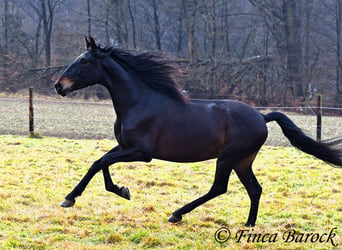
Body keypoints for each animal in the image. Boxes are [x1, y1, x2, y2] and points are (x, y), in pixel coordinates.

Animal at [55, 37, 342, 227]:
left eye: (84, 61)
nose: (59, 85)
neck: (138, 102)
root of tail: (262, 116)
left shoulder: (141, 152)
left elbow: (101, 162)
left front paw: (74, 198)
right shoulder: (125, 147)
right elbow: (99, 162)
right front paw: (117, 191)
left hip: (228, 158)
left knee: (219, 187)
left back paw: (177, 214)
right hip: (243, 161)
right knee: (254, 189)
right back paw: (248, 225)